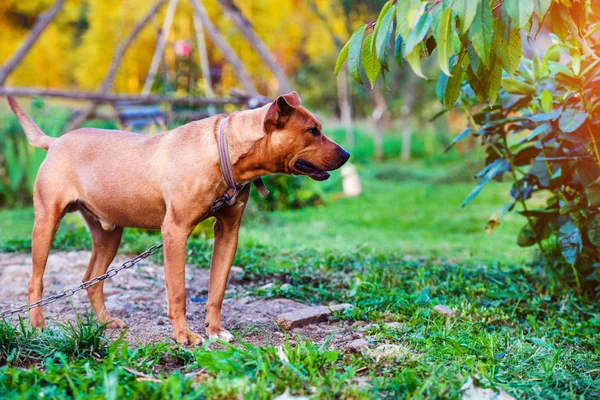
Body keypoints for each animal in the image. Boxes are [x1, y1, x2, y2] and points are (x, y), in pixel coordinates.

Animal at [7, 93, 350, 344]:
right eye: (313, 131)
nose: (347, 154)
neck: (224, 152)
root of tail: (55, 142)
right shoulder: (175, 232)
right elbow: (178, 291)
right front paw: (184, 335)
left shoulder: (228, 232)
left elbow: (217, 288)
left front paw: (215, 331)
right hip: (47, 222)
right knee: (35, 281)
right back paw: (38, 326)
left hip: (109, 233)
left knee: (92, 280)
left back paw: (105, 322)